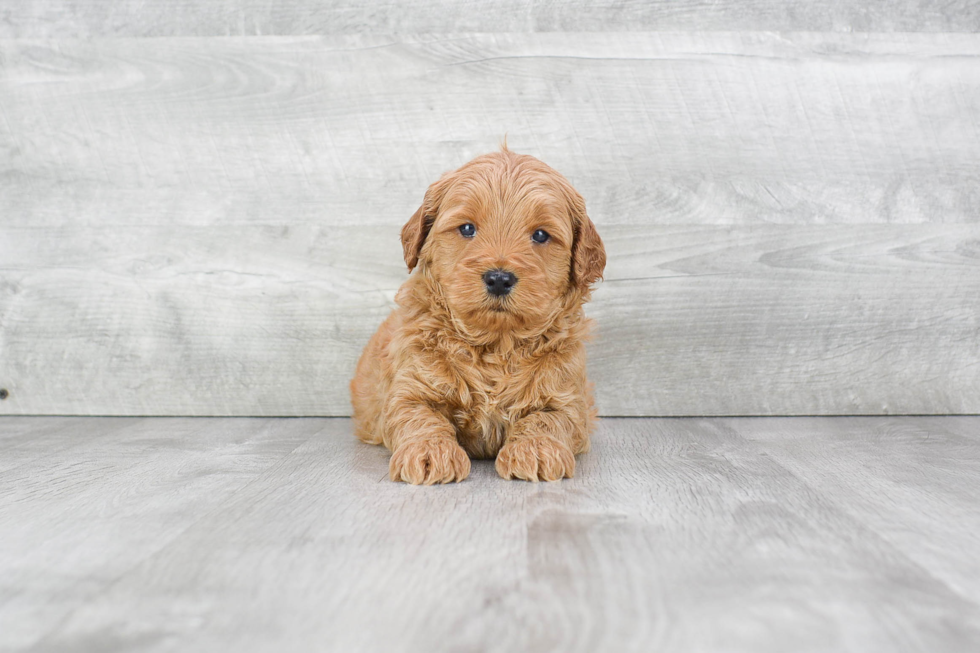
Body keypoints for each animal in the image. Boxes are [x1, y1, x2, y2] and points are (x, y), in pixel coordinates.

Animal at [348, 149, 600, 484]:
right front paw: (429, 453)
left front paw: (536, 450)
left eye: (541, 235)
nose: (499, 279)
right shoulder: (408, 388)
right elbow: (419, 416)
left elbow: (547, 419)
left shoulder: (568, 399)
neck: (495, 343)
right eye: (467, 229)